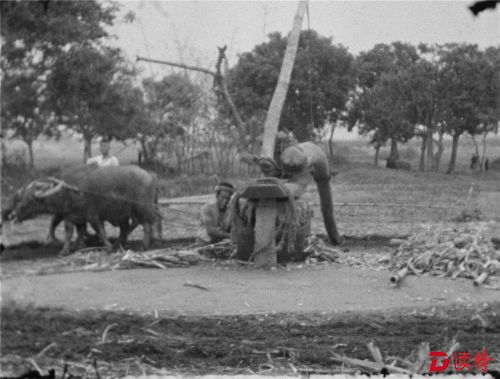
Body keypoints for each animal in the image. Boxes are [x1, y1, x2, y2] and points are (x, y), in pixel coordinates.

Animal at [10, 166, 161, 256]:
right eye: (22, 198)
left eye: (29, 201)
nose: (14, 215)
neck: (70, 193)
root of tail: (149, 173)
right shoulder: (73, 218)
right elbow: (72, 232)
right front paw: (68, 249)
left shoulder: (92, 216)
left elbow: (100, 231)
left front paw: (108, 246)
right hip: (136, 211)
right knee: (143, 223)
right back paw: (139, 244)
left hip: (143, 206)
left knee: (155, 219)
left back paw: (155, 241)